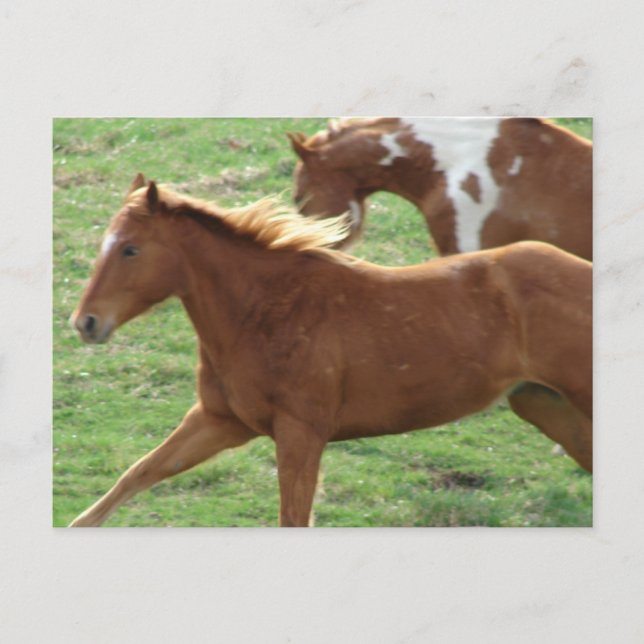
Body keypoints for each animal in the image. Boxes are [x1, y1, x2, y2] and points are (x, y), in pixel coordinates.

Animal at [68, 174, 592, 527]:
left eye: (130, 249)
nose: (85, 323)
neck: (263, 311)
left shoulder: (301, 433)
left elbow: (292, 517)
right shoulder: (220, 421)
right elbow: (138, 473)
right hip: (547, 407)